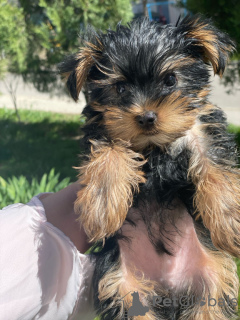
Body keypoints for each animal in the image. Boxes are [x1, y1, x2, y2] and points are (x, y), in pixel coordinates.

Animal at [59, 15, 239, 320]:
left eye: (171, 80)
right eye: (120, 88)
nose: (146, 117)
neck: (154, 147)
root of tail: (169, 290)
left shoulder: (203, 128)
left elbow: (217, 164)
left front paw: (230, 219)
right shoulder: (105, 128)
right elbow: (108, 153)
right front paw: (102, 206)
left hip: (213, 277)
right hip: (122, 284)